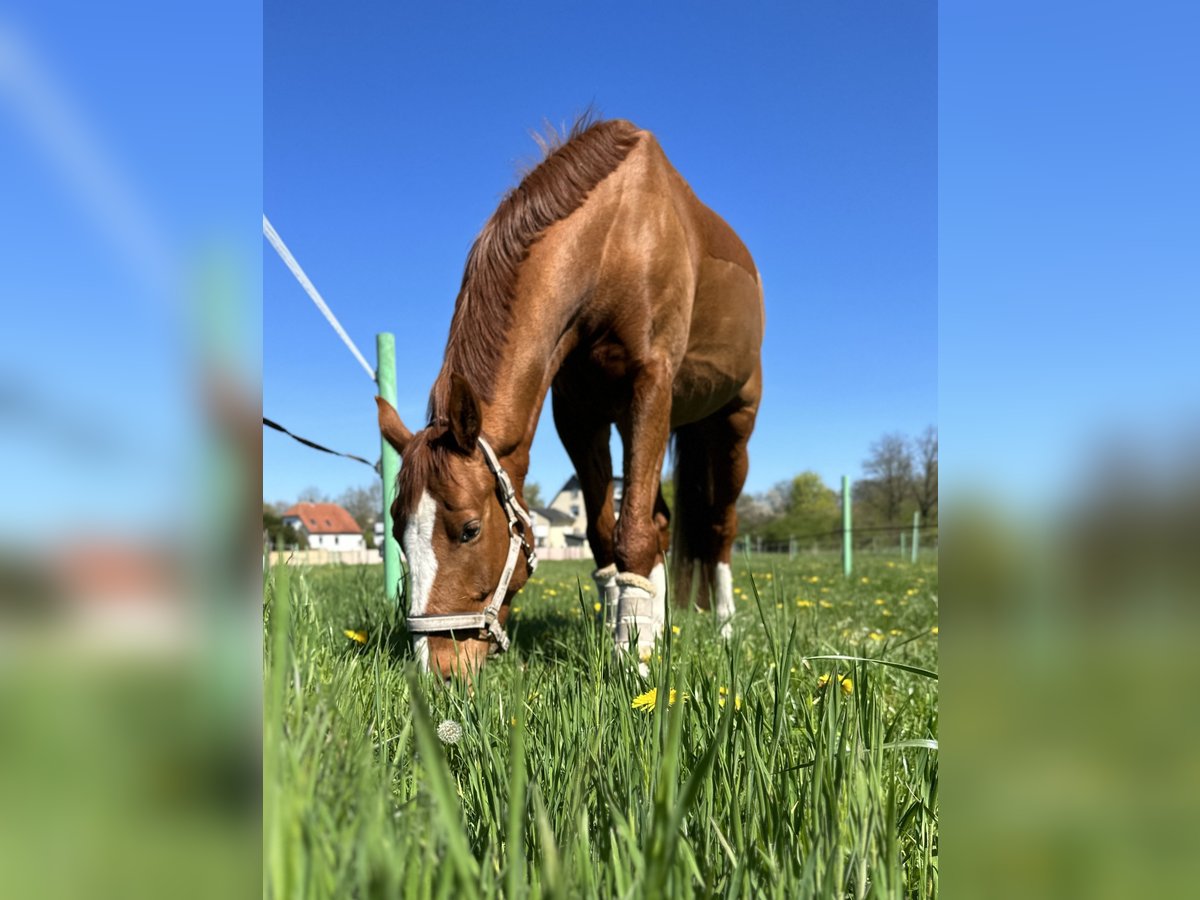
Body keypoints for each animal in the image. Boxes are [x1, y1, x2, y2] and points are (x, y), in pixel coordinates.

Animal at [379, 116, 763, 676]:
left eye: (469, 529)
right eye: (396, 531)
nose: (437, 670)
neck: (614, 238)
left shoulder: (650, 384)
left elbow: (632, 534)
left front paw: (634, 661)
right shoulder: (579, 415)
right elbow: (607, 535)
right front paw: (624, 636)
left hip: (732, 426)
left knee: (720, 527)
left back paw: (727, 626)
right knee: (663, 523)